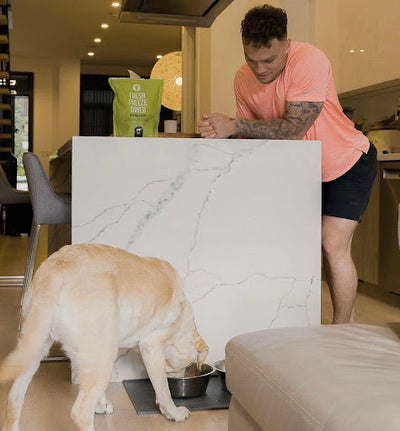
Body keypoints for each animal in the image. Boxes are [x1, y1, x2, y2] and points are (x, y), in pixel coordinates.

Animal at [0, 245, 206, 430]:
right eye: (187, 366)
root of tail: (55, 269)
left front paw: (101, 404)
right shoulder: (151, 346)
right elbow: (163, 389)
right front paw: (174, 412)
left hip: (35, 348)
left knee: (14, 397)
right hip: (104, 355)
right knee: (80, 413)